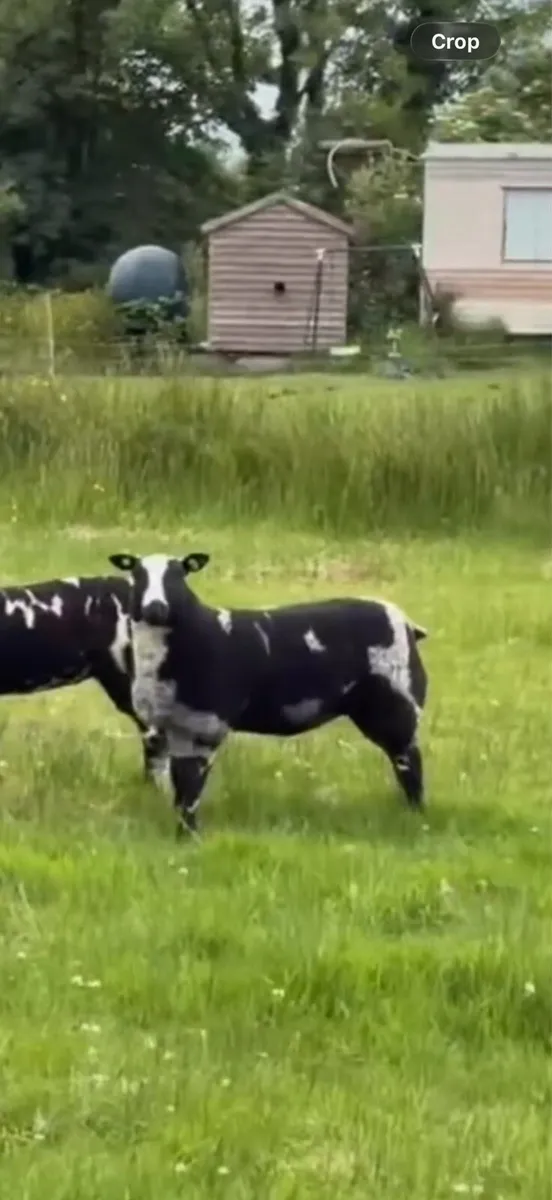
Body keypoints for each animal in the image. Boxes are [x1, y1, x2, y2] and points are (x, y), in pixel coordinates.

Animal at [109, 550, 429, 838]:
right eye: (137, 574)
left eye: (178, 575)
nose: (155, 607)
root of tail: (407, 624)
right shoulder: (176, 727)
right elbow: (180, 787)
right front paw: (183, 832)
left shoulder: (205, 724)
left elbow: (191, 788)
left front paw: (189, 836)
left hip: (396, 700)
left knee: (408, 761)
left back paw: (416, 815)